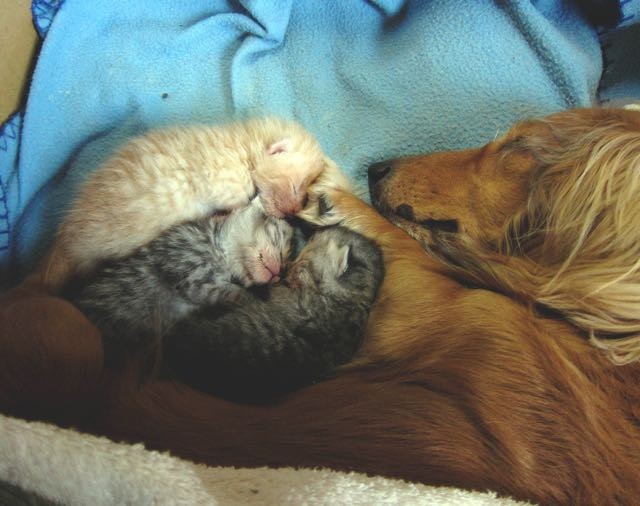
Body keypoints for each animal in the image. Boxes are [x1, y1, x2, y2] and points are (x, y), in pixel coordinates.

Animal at [42, 117, 350, 290]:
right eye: (297, 187)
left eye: (305, 191)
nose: (292, 212)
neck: (244, 148)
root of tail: (63, 242)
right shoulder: (229, 183)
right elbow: (235, 207)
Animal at [67, 198, 292, 364]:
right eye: (279, 241)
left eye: (285, 262)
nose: (279, 273)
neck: (218, 248)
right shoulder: (191, 277)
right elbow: (236, 293)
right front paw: (259, 302)